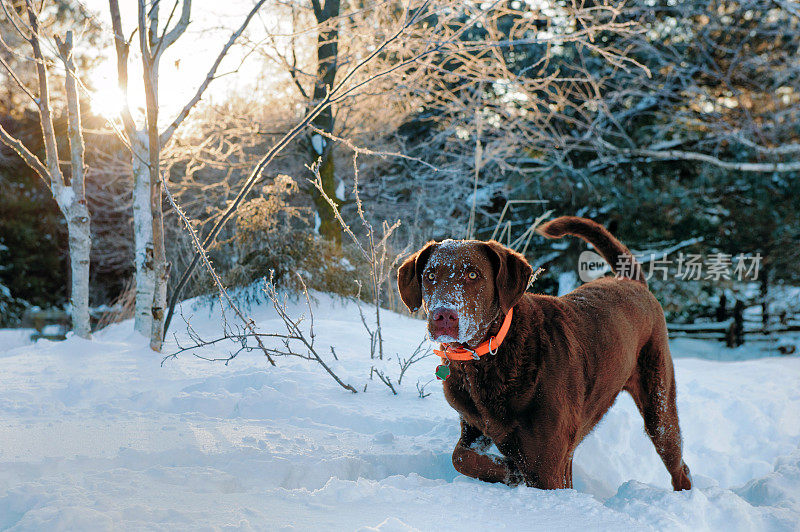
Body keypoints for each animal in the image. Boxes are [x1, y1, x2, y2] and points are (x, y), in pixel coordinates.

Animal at [396, 216, 692, 490]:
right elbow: (460, 457)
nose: (443, 315)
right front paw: (509, 471)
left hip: (658, 405)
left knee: (679, 465)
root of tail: (633, 282)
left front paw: (513, 471)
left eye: (473, 275)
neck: (492, 356)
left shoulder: (546, 464)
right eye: (430, 276)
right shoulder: (475, 424)